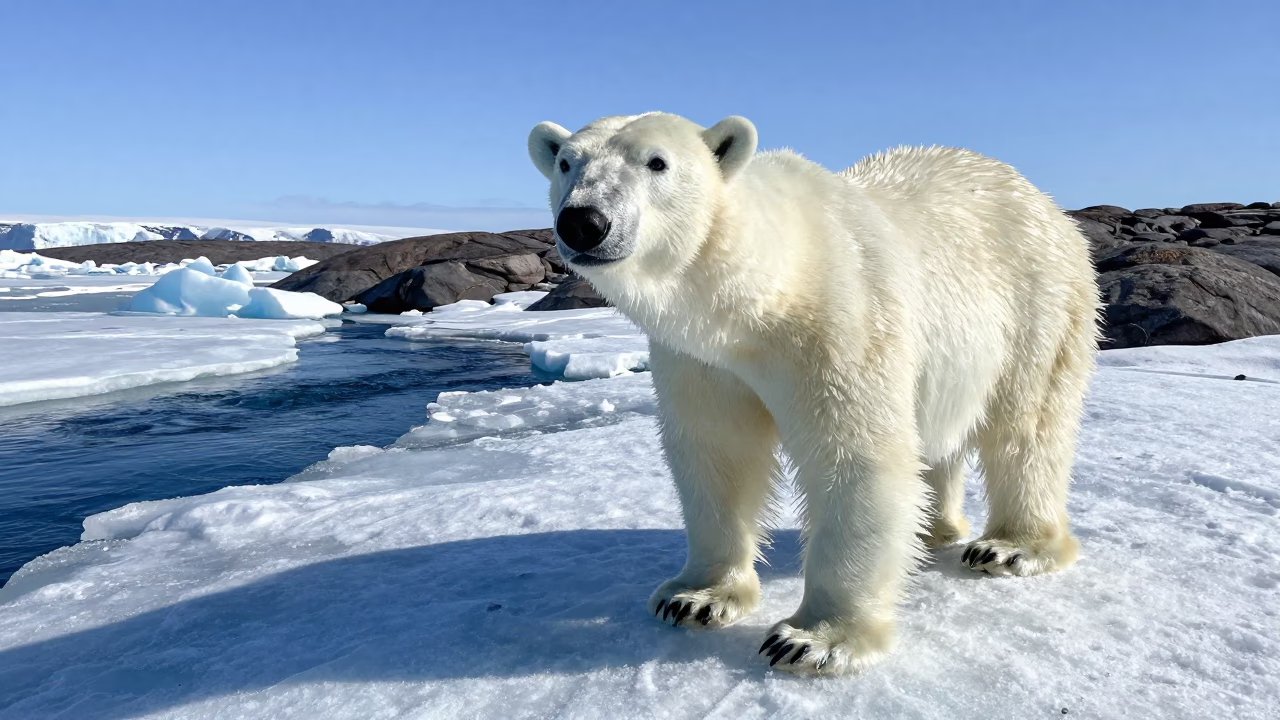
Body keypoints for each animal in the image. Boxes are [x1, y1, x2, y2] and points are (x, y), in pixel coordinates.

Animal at [527, 112, 1099, 675]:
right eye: (566, 162)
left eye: (656, 162)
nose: (584, 221)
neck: (765, 294)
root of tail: (1046, 204)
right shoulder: (701, 359)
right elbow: (718, 454)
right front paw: (695, 597)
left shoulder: (840, 325)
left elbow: (853, 459)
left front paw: (812, 639)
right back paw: (931, 530)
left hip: (1038, 305)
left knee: (1027, 427)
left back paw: (1009, 547)